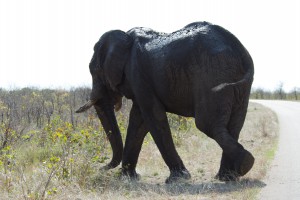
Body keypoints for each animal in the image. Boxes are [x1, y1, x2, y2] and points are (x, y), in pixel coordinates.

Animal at [76, 21, 254, 183]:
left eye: (95, 71)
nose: (101, 168)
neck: (124, 38)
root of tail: (241, 50)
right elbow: (139, 121)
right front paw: (127, 177)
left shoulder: (137, 71)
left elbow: (153, 116)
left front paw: (178, 178)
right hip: (236, 83)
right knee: (234, 125)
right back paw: (227, 176)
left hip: (212, 72)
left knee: (206, 123)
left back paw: (245, 164)